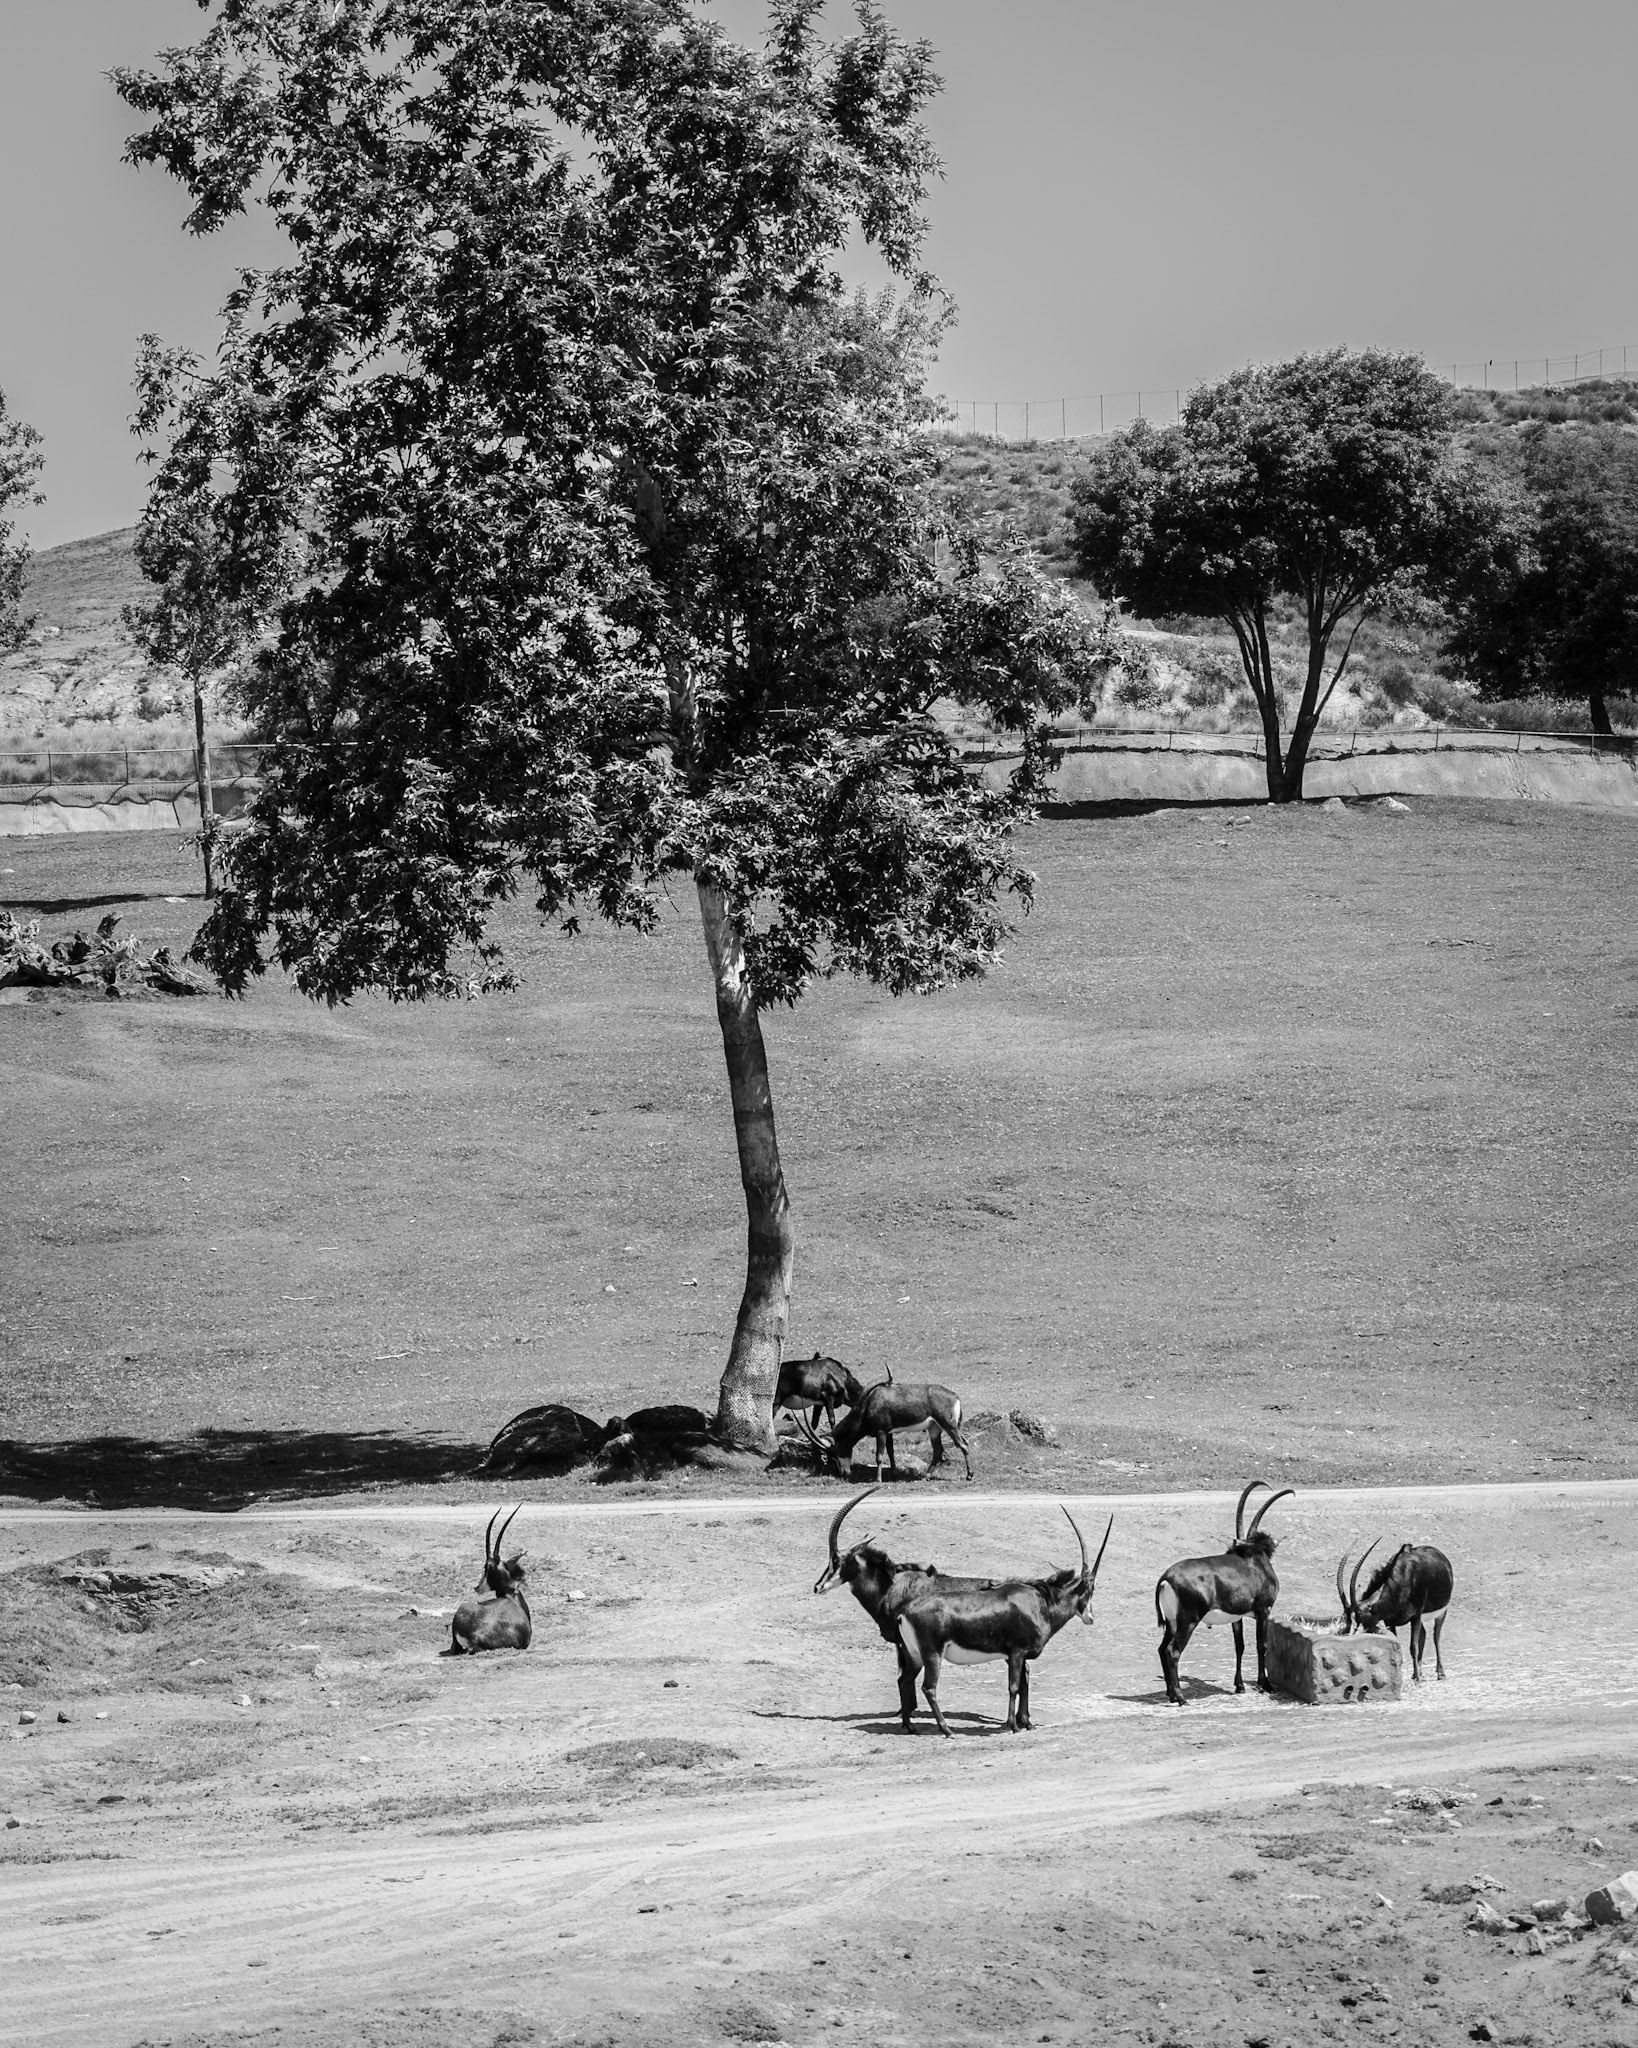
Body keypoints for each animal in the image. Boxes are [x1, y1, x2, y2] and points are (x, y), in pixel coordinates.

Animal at [813, 1485, 1003, 1727]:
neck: (890, 1587)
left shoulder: (902, 1641)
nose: (817, 1587)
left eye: (836, 1561)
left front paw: (907, 1712)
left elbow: (903, 1675)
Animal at [830, 1368, 974, 1481]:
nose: (843, 1473)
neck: (869, 1402)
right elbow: (891, 1452)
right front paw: (893, 1475)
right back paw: (926, 1476)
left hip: (949, 1426)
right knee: (938, 1450)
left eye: (835, 1452)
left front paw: (878, 1479)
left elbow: (879, 1456)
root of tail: (955, 1396)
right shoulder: (888, 1433)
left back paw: (969, 1475)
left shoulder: (881, 1432)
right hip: (934, 1428)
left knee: (963, 1445)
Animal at [892, 1507, 1113, 1735]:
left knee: (904, 1680)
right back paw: (947, 1730)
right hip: (932, 1654)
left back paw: (909, 1726)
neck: (1040, 1603)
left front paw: (1027, 1724)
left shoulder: (1019, 1655)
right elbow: (1014, 1687)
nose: (1090, 1618)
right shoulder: (1017, 1652)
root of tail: (904, 1611)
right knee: (929, 1687)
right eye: (1091, 1588)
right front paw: (1014, 1726)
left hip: (914, 1655)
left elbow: (1023, 1684)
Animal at [1154, 1480, 1293, 1706]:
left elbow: (1240, 1646)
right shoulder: (1264, 1610)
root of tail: (1166, 1578)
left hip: (1172, 1622)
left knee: (1161, 1649)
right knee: (1172, 1651)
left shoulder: (1236, 1617)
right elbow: (1261, 1645)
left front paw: (1240, 1686)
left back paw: (1171, 1695)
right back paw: (1181, 1697)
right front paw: (1265, 1685)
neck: (1254, 1558)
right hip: (1188, 1621)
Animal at [1336, 1540, 1454, 1682]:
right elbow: (1396, 1645)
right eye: (1349, 1619)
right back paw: (1419, 1672)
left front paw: (1417, 1680)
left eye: (1362, 1617)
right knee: (1424, 1634)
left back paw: (1440, 1673)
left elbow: (1413, 1647)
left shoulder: (1416, 1616)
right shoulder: (1390, 1621)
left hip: (1441, 1612)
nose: (1352, 1637)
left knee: (1436, 1637)